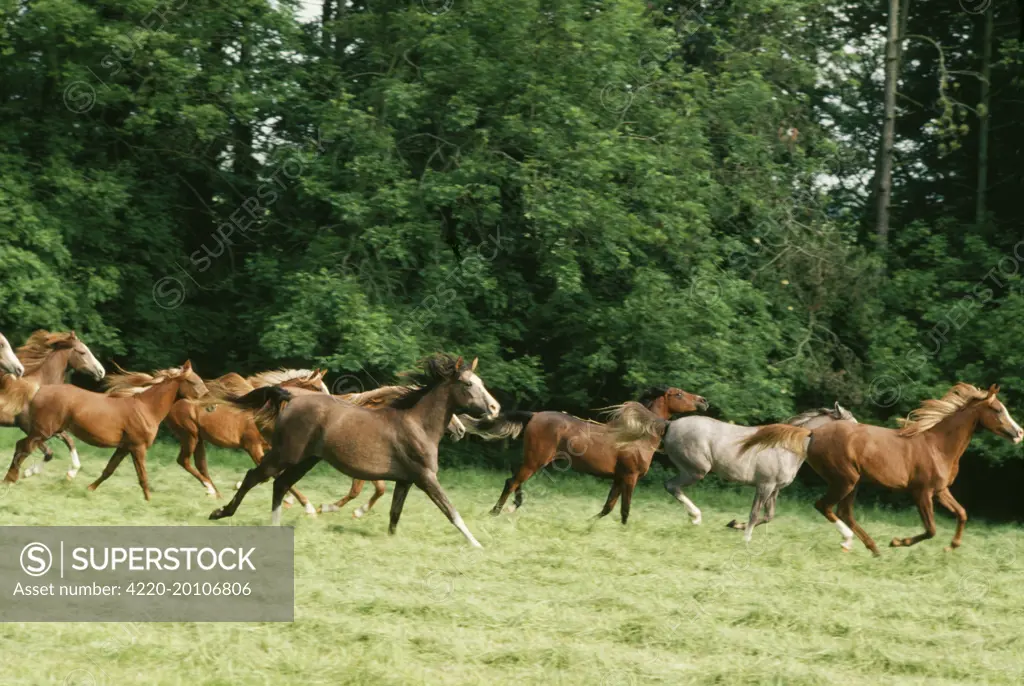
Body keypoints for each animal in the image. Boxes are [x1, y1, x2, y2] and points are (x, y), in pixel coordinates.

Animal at [0, 329, 104, 479]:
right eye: (83, 352)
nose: (101, 371)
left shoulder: (53, 427)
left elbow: (69, 441)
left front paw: (72, 472)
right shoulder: (29, 428)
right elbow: (48, 452)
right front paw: (29, 472)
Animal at [4, 362, 207, 501]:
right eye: (192, 381)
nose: (207, 402)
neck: (146, 408)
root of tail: (39, 390)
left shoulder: (124, 447)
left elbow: (109, 470)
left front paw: (89, 489)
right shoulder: (138, 447)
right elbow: (143, 476)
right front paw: (149, 501)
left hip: (45, 431)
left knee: (24, 447)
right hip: (43, 431)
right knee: (23, 447)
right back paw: (10, 479)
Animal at [208, 354, 499, 548]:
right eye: (469, 384)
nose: (495, 408)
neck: (417, 424)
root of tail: (292, 398)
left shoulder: (405, 480)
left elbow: (394, 514)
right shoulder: (425, 477)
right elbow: (451, 511)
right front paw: (476, 544)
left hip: (306, 460)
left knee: (279, 483)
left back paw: (277, 525)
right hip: (285, 454)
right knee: (254, 477)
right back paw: (220, 512)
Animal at [462, 387, 704, 528]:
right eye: (679, 394)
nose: (703, 401)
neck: (637, 435)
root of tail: (535, 415)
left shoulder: (619, 478)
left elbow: (608, 507)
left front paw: (588, 524)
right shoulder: (630, 477)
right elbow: (624, 509)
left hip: (534, 460)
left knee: (513, 480)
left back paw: (512, 507)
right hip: (536, 460)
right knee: (512, 482)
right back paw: (496, 512)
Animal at [745, 384, 1024, 556]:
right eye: (997, 410)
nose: (1019, 433)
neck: (938, 446)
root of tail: (813, 433)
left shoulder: (940, 490)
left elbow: (963, 513)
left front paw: (951, 547)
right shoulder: (921, 492)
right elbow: (931, 529)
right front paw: (898, 541)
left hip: (853, 482)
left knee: (844, 512)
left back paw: (872, 548)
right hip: (845, 479)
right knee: (824, 506)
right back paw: (854, 542)